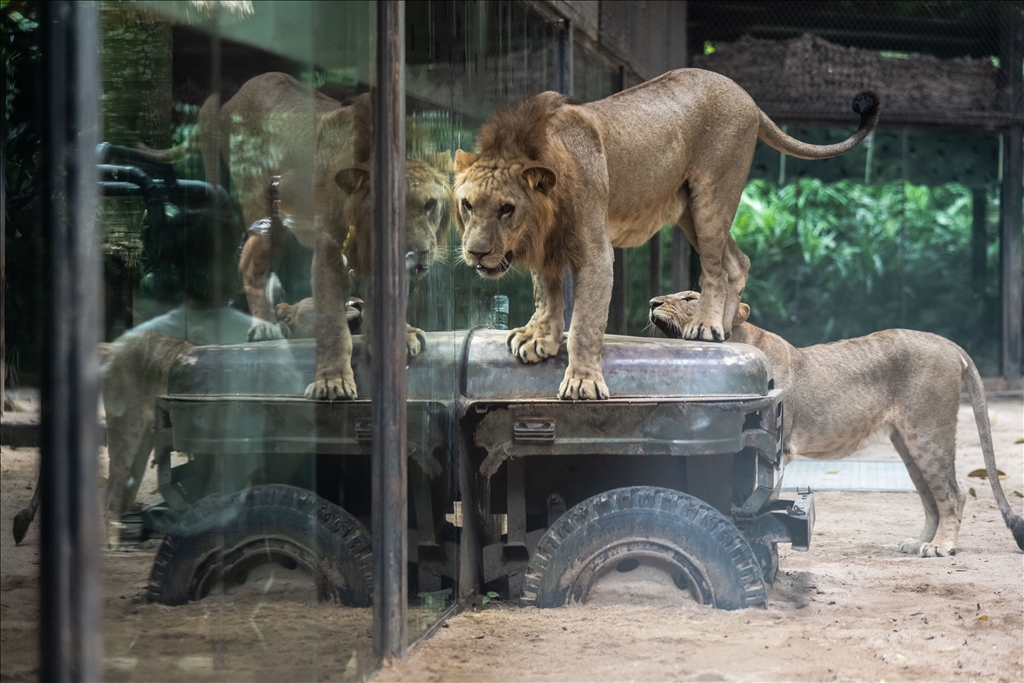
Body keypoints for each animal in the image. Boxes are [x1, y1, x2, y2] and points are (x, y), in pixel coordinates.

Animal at [456, 68, 880, 401]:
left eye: (507, 208)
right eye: (467, 205)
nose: (475, 253)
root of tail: (746, 96)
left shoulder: (596, 253)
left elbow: (586, 324)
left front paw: (582, 381)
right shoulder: (545, 246)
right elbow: (546, 293)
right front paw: (538, 338)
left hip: (712, 195)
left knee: (715, 269)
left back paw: (706, 327)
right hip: (688, 209)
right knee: (737, 262)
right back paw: (725, 329)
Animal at [651, 290, 1019, 557]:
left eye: (690, 297)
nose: (652, 302)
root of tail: (949, 344)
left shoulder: (772, 444)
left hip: (928, 432)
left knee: (953, 494)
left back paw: (942, 547)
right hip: (907, 442)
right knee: (931, 498)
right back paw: (918, 543)